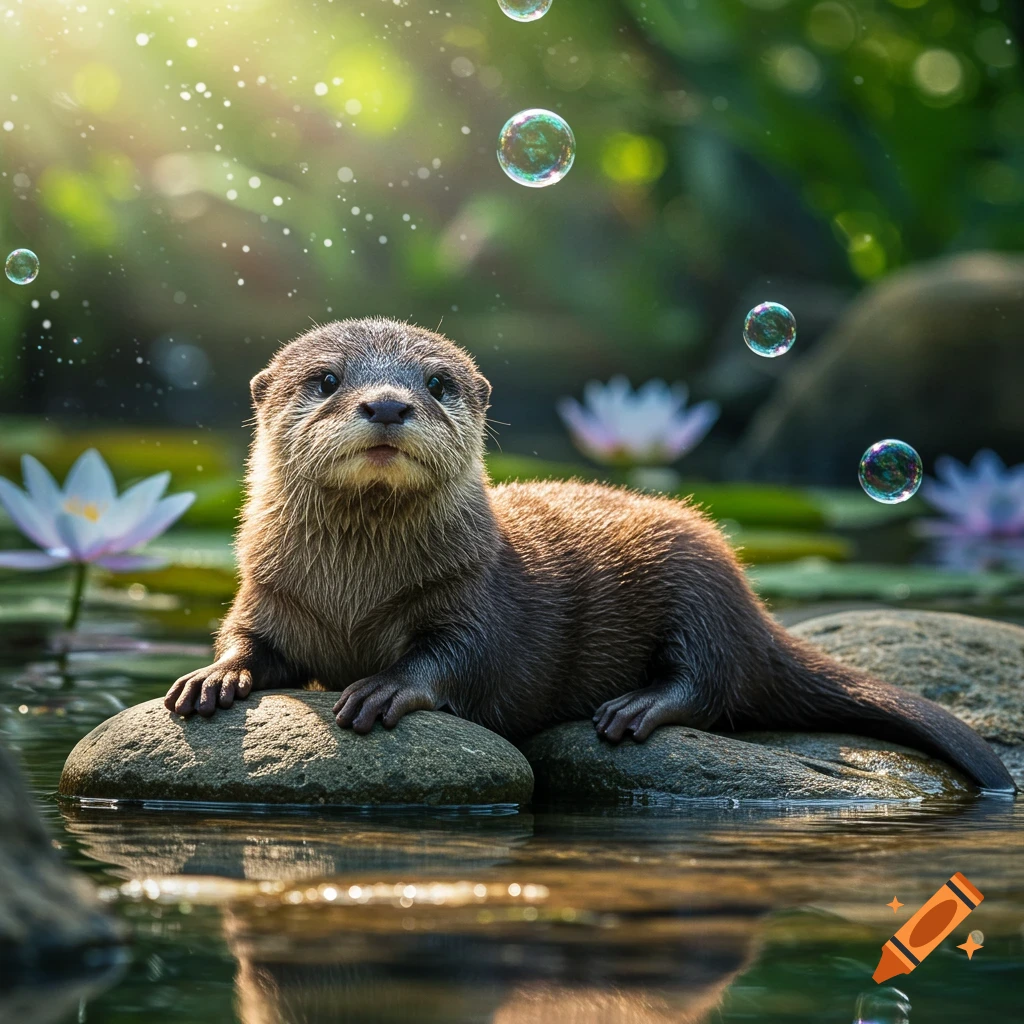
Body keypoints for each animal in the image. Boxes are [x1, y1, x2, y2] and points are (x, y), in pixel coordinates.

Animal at [164, 318, 1015, 793]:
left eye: (437, 382)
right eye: (326, 379)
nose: (387, 404)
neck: (355, 592)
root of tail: (755, 606)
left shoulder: (473, 595)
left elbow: (460, 658)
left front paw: (387, 688)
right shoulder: (268, 590)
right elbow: (249, 640)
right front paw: (214, 677)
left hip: (697, 577)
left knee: (715, 679)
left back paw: (639, 708)